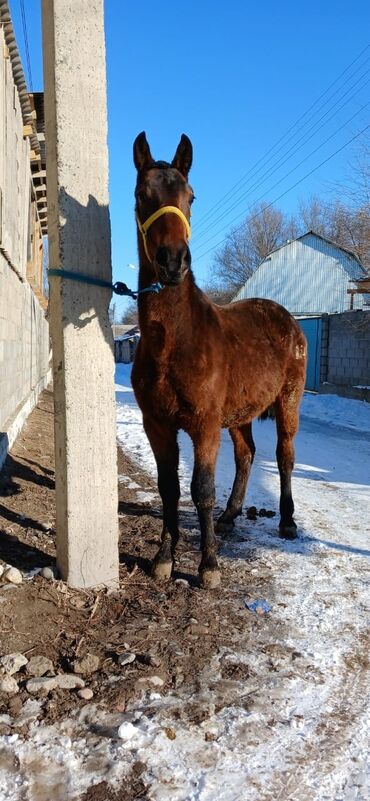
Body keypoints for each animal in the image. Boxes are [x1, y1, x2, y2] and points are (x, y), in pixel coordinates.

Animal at [130, 130, 306, 580]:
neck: (174, 342)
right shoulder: (157, 425)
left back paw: (287, 521)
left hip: (287, 402)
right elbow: (169, 490)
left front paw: (208, 566)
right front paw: (163, 558)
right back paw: (230, 516)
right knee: (247, 455)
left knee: (284, 456)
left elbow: (201, 490)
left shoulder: (204, 426)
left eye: (191, 195)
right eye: (141, 194)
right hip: (241, 413)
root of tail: (286, 318)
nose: (173, 262)